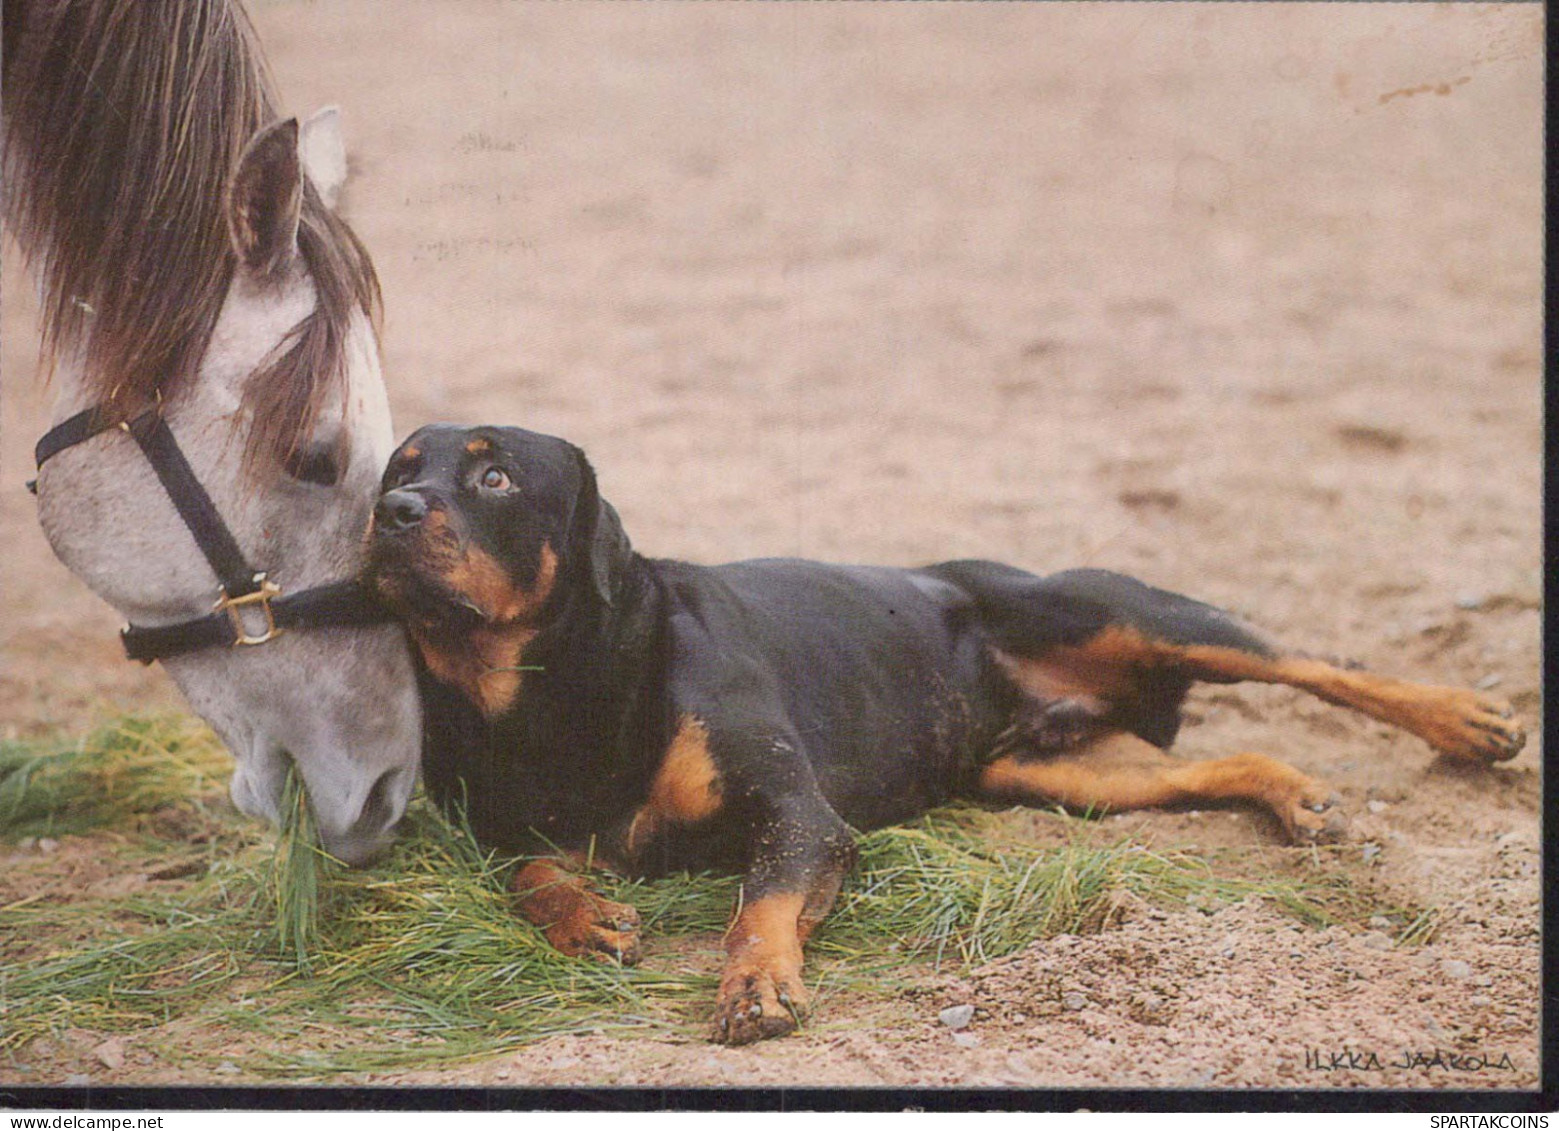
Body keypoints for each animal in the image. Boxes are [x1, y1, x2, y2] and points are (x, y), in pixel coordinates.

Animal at [367, 424, 1521, 1048]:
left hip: (1117, 611)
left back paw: (1464, 719)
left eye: (496, 476)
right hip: (1059, 773)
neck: (551, 680)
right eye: (398, 465)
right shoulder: (521, 832)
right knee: (1215, 760)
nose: (389, 509)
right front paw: (587, 917)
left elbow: (757, 906)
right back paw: (1294, 793)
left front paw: (756, 984)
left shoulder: (800, 814)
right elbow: (531, 873)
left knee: (1311, 663)